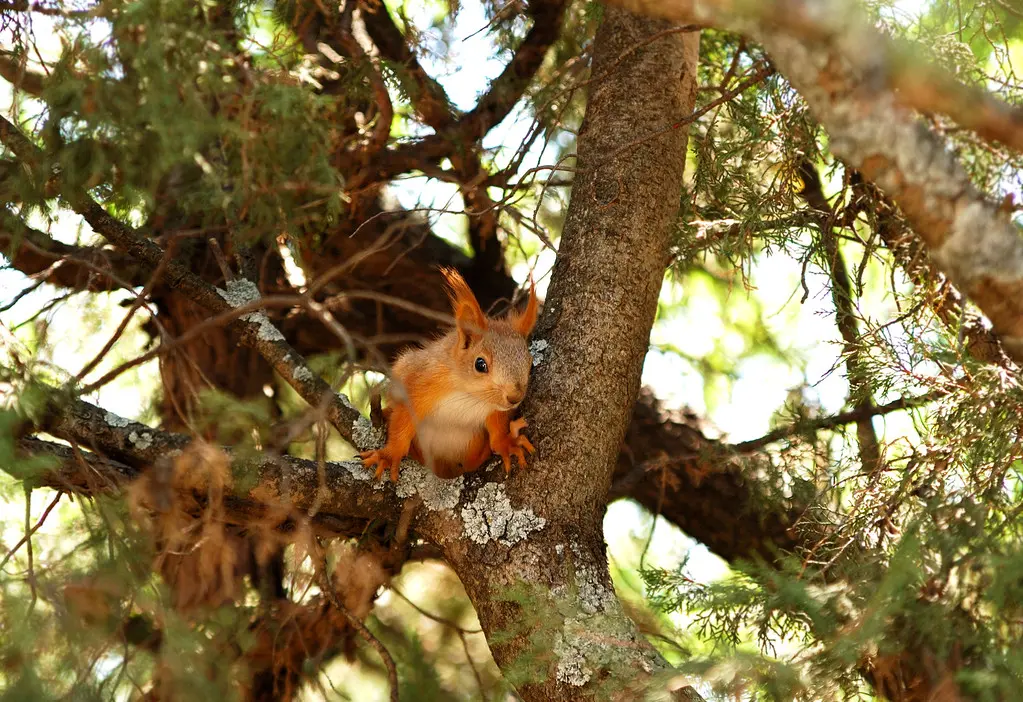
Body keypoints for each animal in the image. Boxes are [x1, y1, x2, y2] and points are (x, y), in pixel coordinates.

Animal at [360, 270, 540, 483]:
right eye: (480, 364)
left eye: (530, 364)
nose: (514, 398)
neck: (467, 393)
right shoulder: (418, 381)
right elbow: (401, 422)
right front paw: (389, 455)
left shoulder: (496, 409)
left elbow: (498, 426)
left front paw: (506, 443)